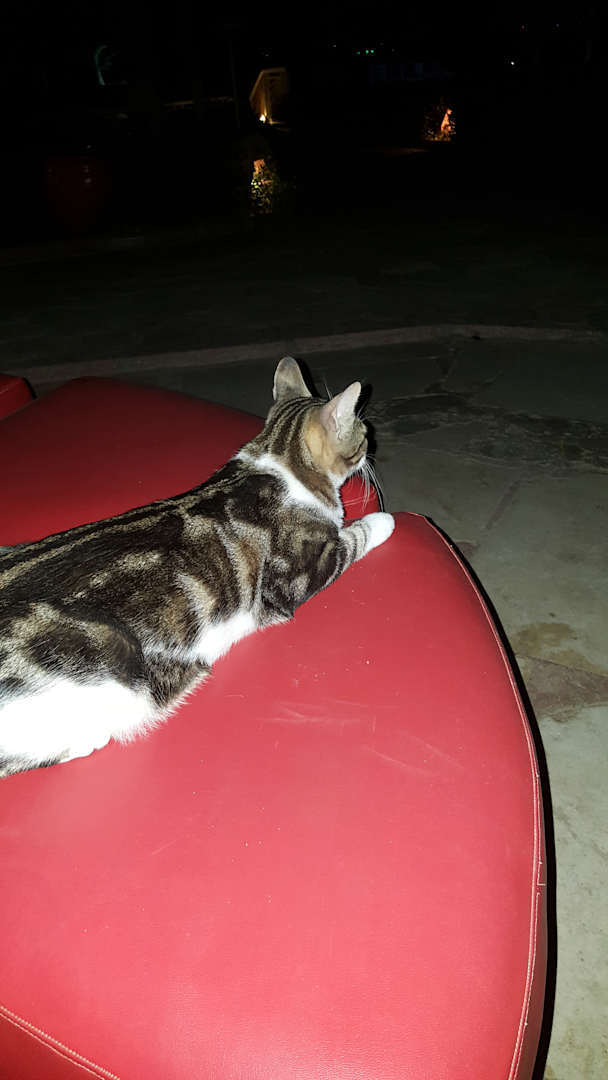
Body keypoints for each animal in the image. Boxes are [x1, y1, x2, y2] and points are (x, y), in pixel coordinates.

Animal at [0, 357, 394, 777]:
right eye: (363, 434)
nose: (370, 447)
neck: (279, 457)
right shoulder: (295, 575)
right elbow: (352, 538)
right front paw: (383, 521)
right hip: (118, 674)